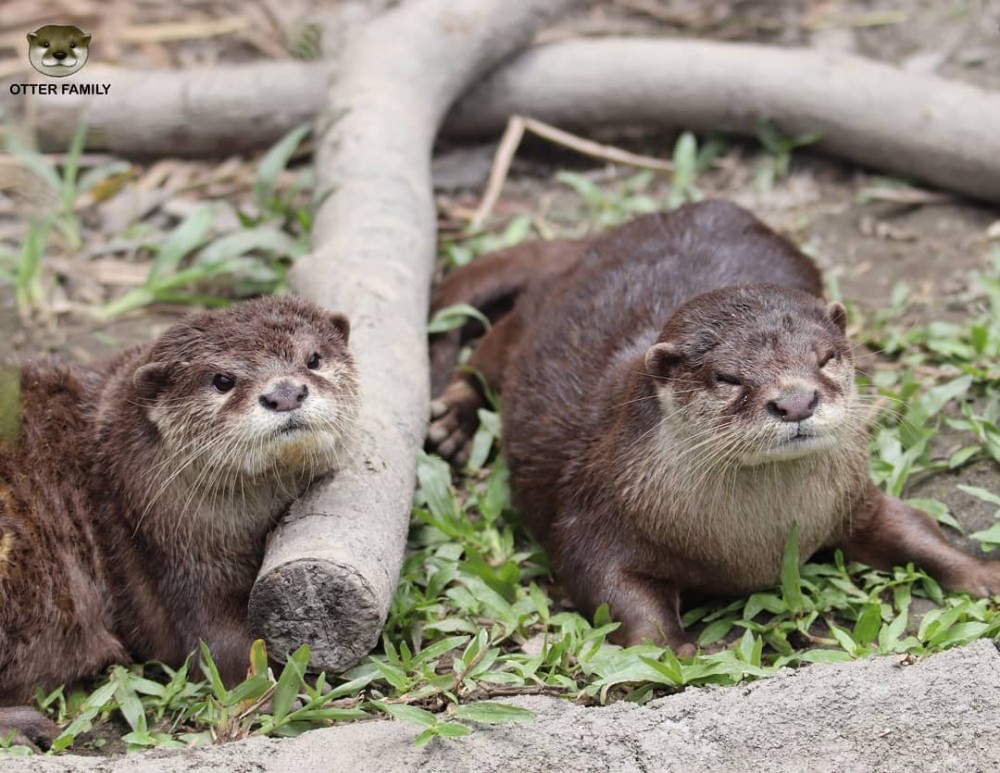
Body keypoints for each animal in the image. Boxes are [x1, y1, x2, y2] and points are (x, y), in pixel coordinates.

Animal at [0, 295, 358, 747]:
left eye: (313, 359)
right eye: (222, 380)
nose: (285, 393)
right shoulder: (174, 559)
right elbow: (216, 644)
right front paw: (290, 690)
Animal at [427, 200, 1000, 655]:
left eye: (827, 357)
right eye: (727, 378)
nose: (796, 401)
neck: (757, 545)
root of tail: (593, 242)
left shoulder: (854, 499)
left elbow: (914, 527)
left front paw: (983, 573)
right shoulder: (594, 512)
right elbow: (610, 587)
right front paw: (672, 653)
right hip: (528, 320)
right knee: (480, 362)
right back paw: (451, 423)